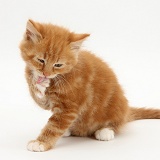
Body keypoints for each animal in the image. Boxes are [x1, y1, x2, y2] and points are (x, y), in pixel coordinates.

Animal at [19, 19, 160, 152]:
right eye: (41, 60)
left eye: (58, 65)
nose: (46, 74)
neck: (58, 78)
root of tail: (127, 111)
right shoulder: (47, 102)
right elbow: (38, 97)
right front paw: (38, 84)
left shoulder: (69, 108)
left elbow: (55, 126)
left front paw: (41, 143)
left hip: (118, 105)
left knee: (117, 123)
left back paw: (105, 131)